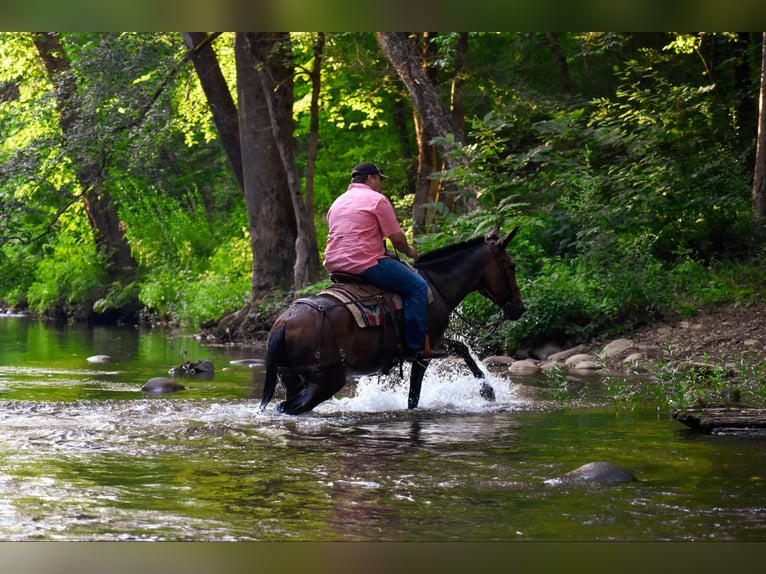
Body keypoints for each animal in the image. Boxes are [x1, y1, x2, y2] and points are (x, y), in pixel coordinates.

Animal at [260, 227, 524, 416]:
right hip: (326, 381)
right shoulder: (424, 352)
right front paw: (487, 390)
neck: (436, 286)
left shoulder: (433, 342)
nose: (519, 309)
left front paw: (487, 391)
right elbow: (414, 395)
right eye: (512, 266)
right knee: (290, 408)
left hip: (293, 379)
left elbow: (461, 348)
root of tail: (283, 323)